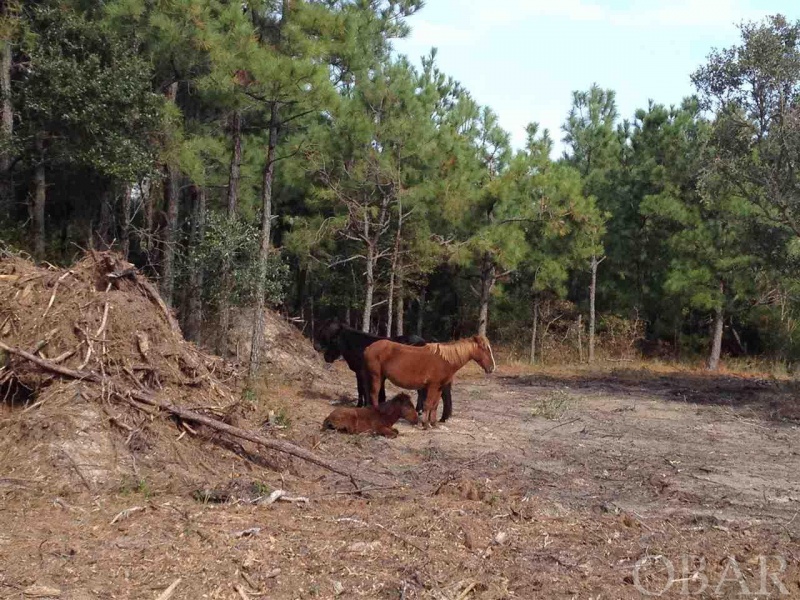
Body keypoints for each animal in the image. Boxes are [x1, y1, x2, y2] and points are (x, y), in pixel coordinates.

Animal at [312, 322, 454, 424]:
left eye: (331, 338)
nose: (316, 347)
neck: (359, 346)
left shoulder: (363, 373)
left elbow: (364, 389)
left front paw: (363, 406)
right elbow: (373, 391)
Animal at [362, 336, 494, 428]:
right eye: (484, 348)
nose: (492, 368)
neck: (445, 360)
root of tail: (369, 347)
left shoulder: (440, 387)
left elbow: (435, 405)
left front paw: (433, 423)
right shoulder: (432, 386)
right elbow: (428, 404)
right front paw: (425, 424)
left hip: (381, 377)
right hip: (376, 376)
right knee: (374, 394)